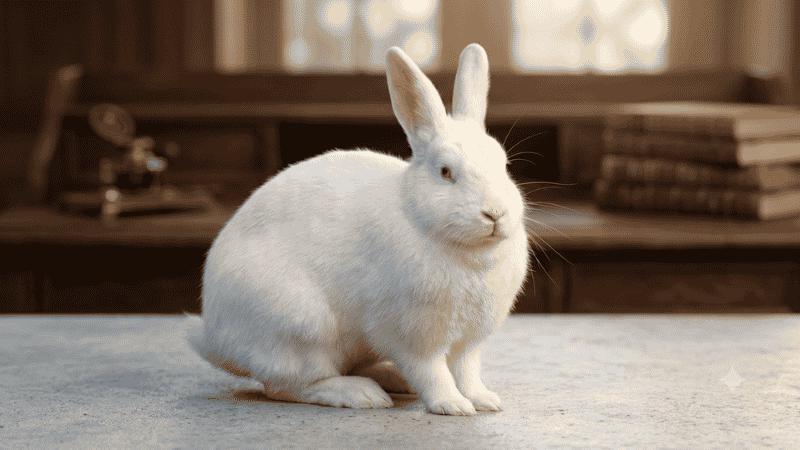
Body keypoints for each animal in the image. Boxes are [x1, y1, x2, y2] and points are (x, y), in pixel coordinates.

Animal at [187, 43, 529, 416]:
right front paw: (452, 405)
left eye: (505, 165)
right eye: (445, 172)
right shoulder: (412, 336)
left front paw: (484, 400)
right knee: (288, 386)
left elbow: (467, 370)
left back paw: (393, 379)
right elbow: (433, 372)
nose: (495, 214)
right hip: (301, 328)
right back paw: (361, 394)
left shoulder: (468, 342)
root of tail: (215, 339)